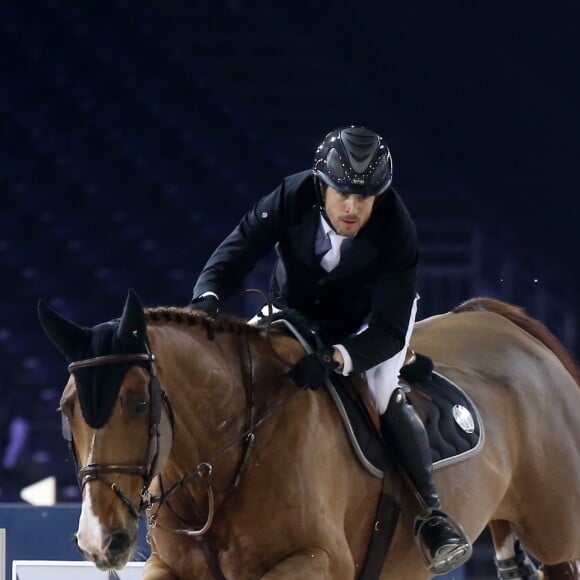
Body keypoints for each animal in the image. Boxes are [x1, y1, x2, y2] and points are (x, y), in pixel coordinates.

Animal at [38, 294, 576, 580]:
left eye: (138, 403)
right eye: (66, 411)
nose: (99, 540)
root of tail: (502, 324)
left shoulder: (319, 561)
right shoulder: (168, 568)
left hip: (556, 533)